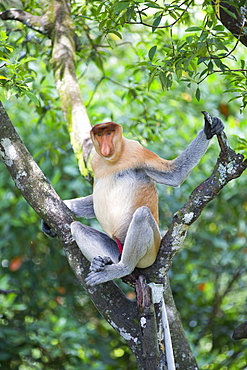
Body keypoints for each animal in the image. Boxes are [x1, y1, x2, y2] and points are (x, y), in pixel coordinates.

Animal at [43, 115, 224, 286]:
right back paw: (102, 262)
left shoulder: (136, 150)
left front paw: (209, 130)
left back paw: (122, 268)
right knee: (77, 227)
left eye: (109, 133)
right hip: (116, 249)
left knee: (142, 215)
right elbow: (93, 204)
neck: (113, 160)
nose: (105, 147)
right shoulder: (95, 161)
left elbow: (175, 174)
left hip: (151, 252)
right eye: (100, 135)